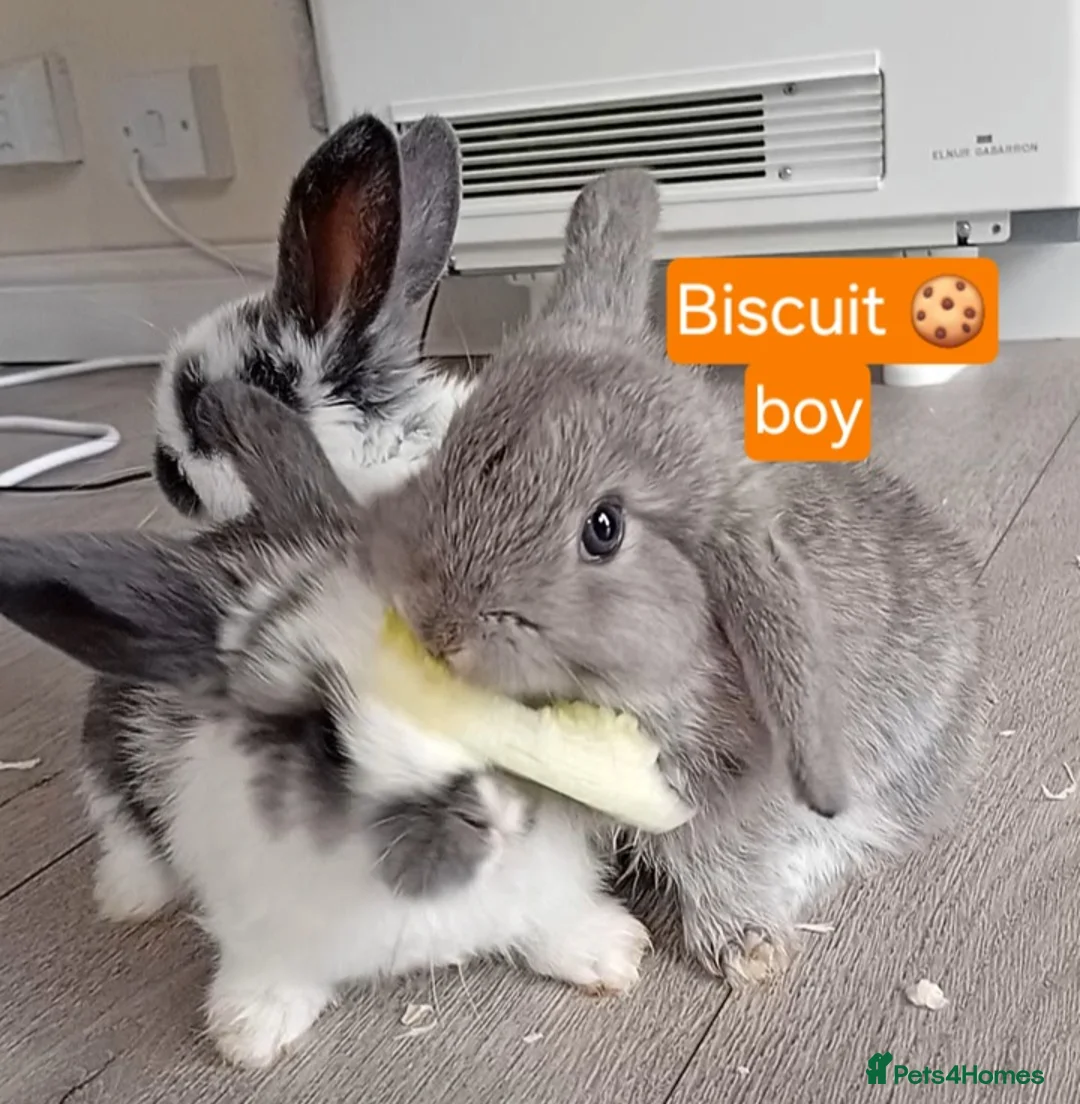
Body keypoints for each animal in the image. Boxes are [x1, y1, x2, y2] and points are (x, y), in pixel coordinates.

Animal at [0, 380, 649, 1071]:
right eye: (326, 740)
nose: (492, 811)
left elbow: (547, 915)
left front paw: (613, 953)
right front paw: (250, 1029)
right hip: (107, 753)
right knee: (119, 824)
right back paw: (129, 897)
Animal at [360, 167, 992, 988]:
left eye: (604, 529)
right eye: (453, 450)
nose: (439, 628)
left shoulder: (725, 790)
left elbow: (722, 857)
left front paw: (747, 951)